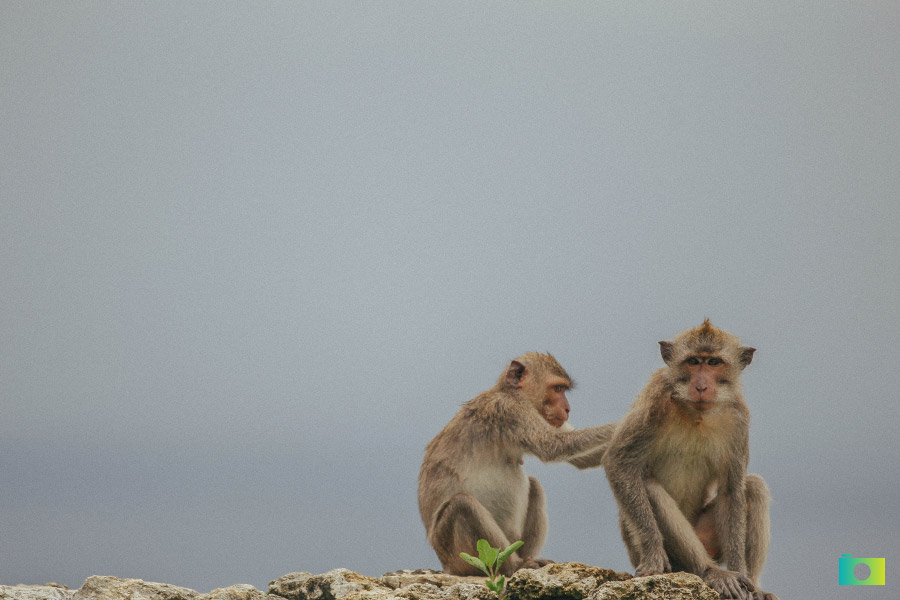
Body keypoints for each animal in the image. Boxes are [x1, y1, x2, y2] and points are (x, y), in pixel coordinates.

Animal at [418, 352, 616, 576]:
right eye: (557, 388)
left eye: (563, 389)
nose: (567, 409)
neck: (509, 392)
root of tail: (445, 565)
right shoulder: (511, 410)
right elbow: (554, 446)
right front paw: (622, 423)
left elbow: (583, 459)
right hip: (456, 551)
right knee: (462, 504)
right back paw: (513, 565)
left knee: (534, 486)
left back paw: (528, 558)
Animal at [604, 322, 780, 600]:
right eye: (694, 362)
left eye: (714, 362)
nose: (701, 386)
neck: (697, 412)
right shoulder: (657, 395)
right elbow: (619, 462)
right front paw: (653, 554)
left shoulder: (739, 416)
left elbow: (732, 489)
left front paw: (741, 573)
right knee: (649, 487)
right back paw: (710, 571)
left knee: (753, 486)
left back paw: (752, 584)